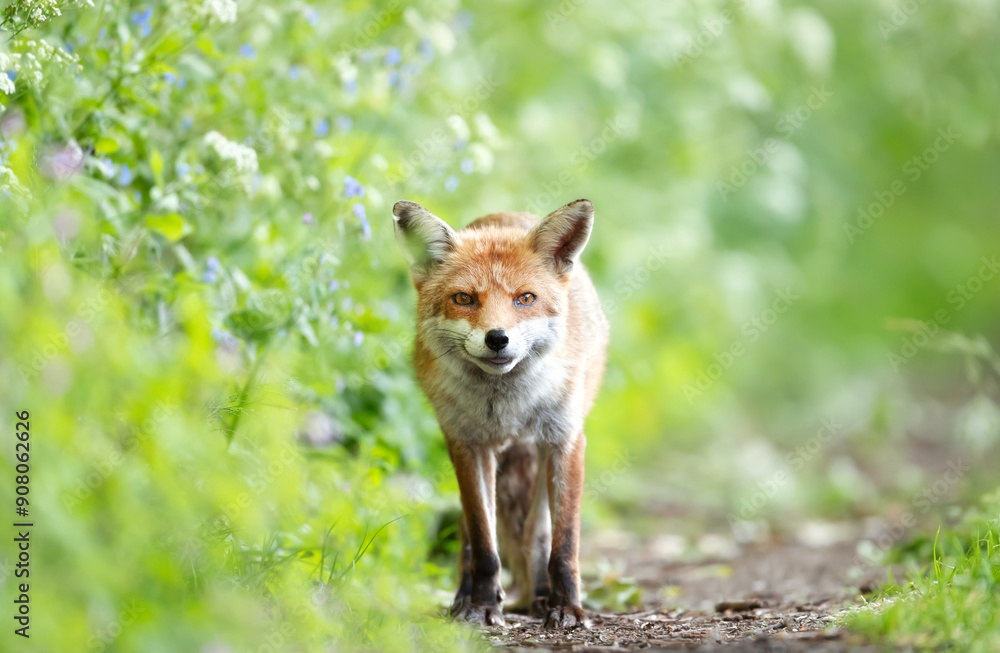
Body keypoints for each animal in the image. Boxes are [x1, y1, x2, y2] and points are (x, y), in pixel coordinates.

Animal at [392, 198, 608, 629]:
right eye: (463, 299)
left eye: (525, 298)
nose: (497, 338)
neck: (507, 406)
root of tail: (503, 215)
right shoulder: (468, 445)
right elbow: (483, 541)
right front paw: (481, 605)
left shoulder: (566, 440)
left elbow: (564, 544)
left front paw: (566, 608)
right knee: (469, 534)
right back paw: (464, 596)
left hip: (540, 453)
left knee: (535, 534)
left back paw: (541, 595)